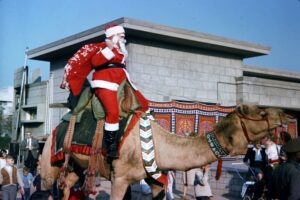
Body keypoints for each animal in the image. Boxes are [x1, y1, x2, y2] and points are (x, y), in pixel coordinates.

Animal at [39, 104, 288, 199]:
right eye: (262, 113)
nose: (284, 115)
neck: (158, 145)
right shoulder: (119, 178)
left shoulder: (154, 179)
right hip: (49, 162)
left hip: (75, 166)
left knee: (68, 186)